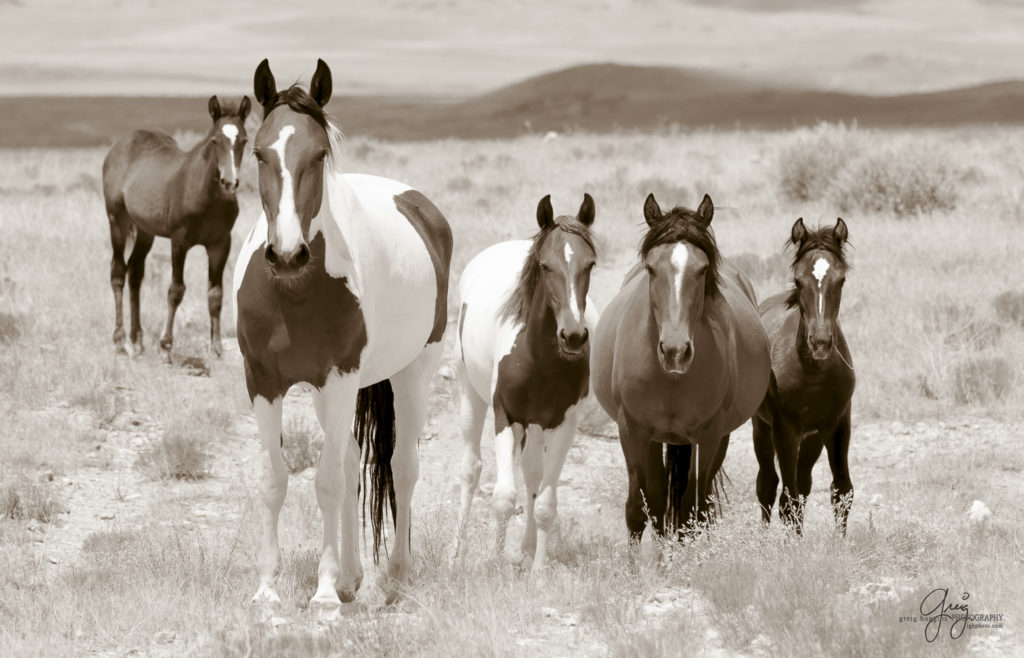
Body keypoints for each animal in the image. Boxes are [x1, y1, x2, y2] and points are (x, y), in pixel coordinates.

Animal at [102, 94, 250, 360]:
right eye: (215, 141)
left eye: (243, 140)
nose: (229, 183)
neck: (206, 196)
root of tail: (118, 147)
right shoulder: (179, 241)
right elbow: (176, 290)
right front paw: (166, 346)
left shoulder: (221, 243)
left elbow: (215, 294)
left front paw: (217, 348)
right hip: (117, 221)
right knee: (118, 272)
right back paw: (119, 341)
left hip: (146, 231)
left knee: (135, 274)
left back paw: (137, 341)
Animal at [237, 59, 454, 609]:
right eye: (258, 153)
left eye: (318, 154)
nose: (287, 254)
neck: (295, 292)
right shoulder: (263, 381)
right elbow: (273, 479)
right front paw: (267, 589)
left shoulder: (337, 376)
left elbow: (329, 481)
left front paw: (322, 594)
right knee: (356, 458)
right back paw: (353, 576)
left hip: (411, 371)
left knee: (402, 465)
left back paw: (394, 573)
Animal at [452, 193, 598, 568]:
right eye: (545, 266)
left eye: (590, 264)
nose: (573, 336)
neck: (539, 360)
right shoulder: (506, 416)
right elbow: (503, 497)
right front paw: (494, 561)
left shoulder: (563, 423)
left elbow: (545, 503)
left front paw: (537, 569)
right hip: (470, 394)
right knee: (471, 469)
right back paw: (455, 553)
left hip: (537, 424)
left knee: (533, 473)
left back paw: (526, 549)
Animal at [593, 193, 770, 544]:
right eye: (651, 268)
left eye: (702, 270)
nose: (675, 351)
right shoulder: (632, 429)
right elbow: (639, 510)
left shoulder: (709, 434)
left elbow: (693, 511)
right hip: (654, 439)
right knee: (659, 498)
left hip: (717, 438)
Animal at [753, 218, 856, 532]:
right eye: (799, 281)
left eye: (841, 280)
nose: (820, 342)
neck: (814, 373)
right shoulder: (784, 429)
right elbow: (788, 500)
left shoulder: (837, 424)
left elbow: (842, 492)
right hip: (762, 428)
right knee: (767, 484)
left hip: (812, 438)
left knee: (804, 483)